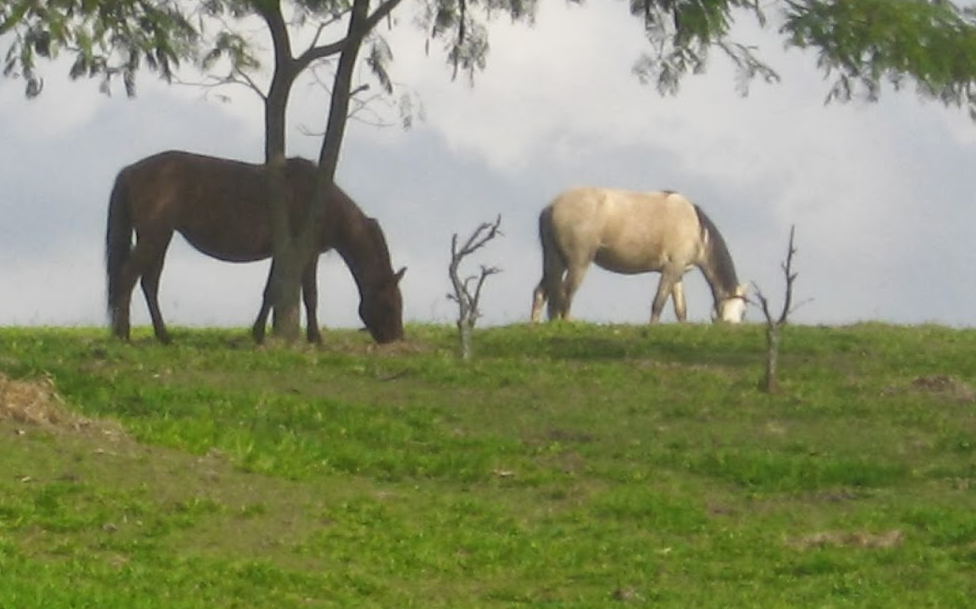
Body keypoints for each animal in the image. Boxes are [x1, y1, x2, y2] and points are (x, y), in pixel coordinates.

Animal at [105, 150, 406, 344]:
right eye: (390, 304)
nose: (396, 338)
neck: (318, 201)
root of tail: (131, 170)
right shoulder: (303, 253)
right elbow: (303, 294)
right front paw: (311, 338)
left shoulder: (287, 255)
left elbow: (279, 292)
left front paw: (263, 334)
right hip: (155, 236)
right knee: (129, 277)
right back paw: (124, 335)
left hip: (160, 237)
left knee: (148, 283)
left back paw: (162, 336)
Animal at [531, 187, 747, 324]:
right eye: (744, 312)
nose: (732, 328)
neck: (695, 226)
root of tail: (551, 207)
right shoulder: (671, 268)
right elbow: (658, 302)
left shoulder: (677, 273)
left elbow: (681, 310)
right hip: (579, 262)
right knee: (566, 292)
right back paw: (568, 322)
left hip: (555, 261)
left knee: (542, 292)